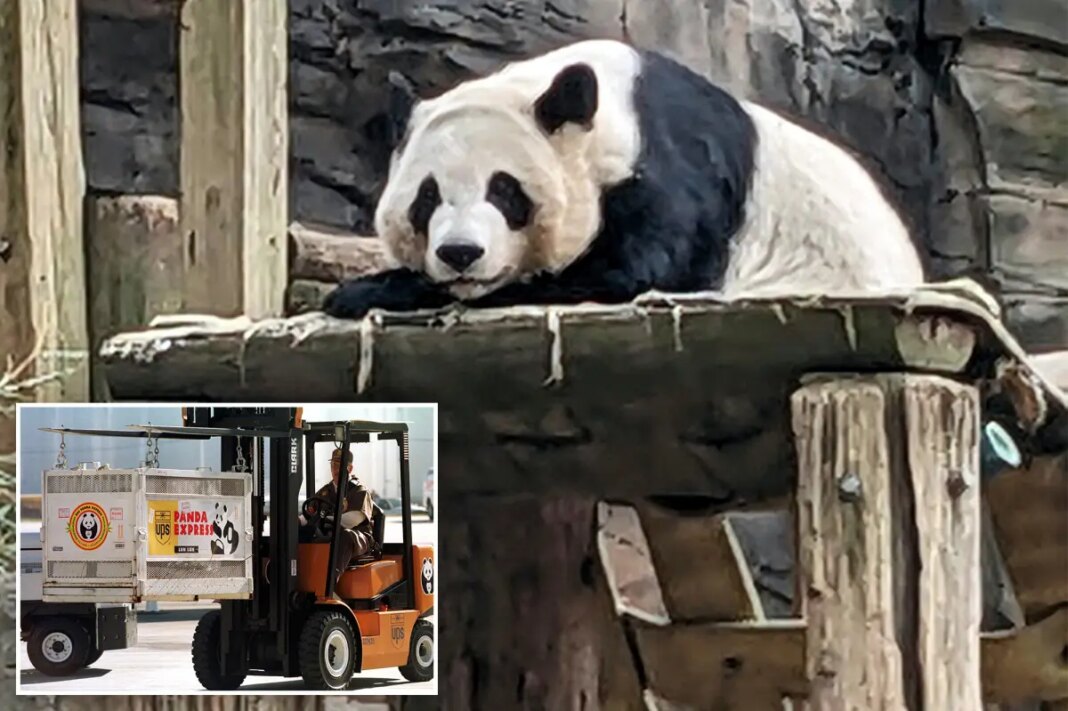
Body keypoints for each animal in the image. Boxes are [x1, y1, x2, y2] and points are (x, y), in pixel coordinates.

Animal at [323, 39, 924, 319]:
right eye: (427, 198)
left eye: (505, 191)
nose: (461, 254)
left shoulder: (673, 173)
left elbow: (624, 274)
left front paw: (367, 290)